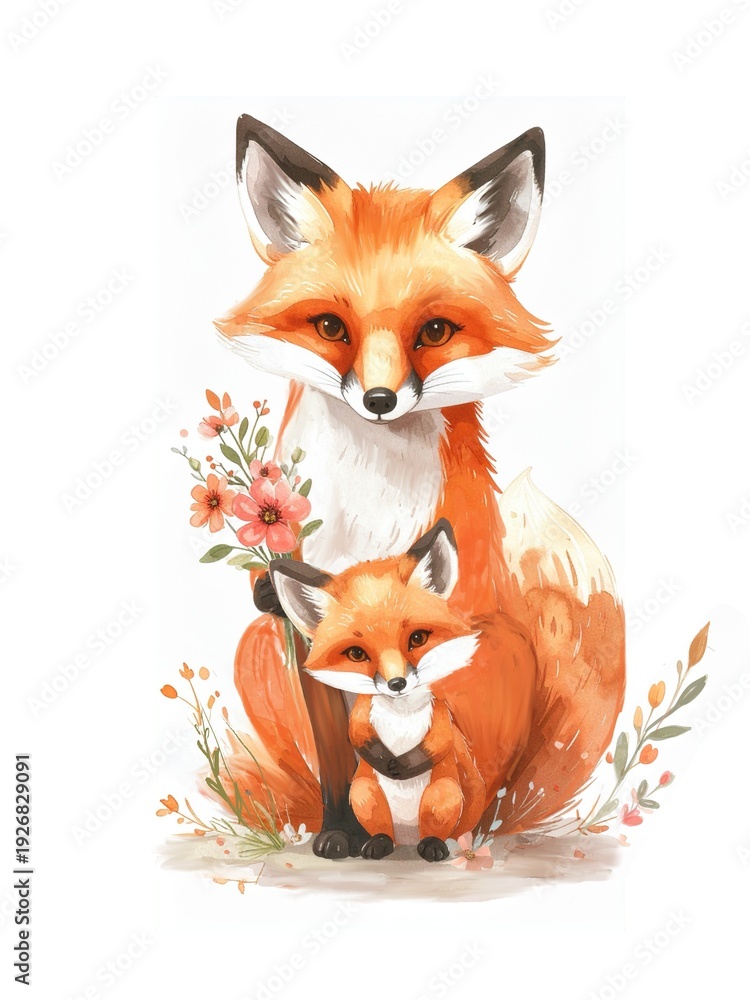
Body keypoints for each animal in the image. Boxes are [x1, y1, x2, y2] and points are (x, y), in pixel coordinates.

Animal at [267, 520, 531, 862]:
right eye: (356, 654)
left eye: (417, 638)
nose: (397, 684)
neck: (400, 717)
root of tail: (407, 837)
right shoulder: (360, 716)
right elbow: (359, 736)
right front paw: (385, 762)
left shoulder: (441, 717)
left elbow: (439, 742)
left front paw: (401, 766)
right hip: (364, 794)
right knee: (382, 830)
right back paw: (377, 844)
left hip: (442, 795)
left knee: (438, 829)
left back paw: (434, 846)